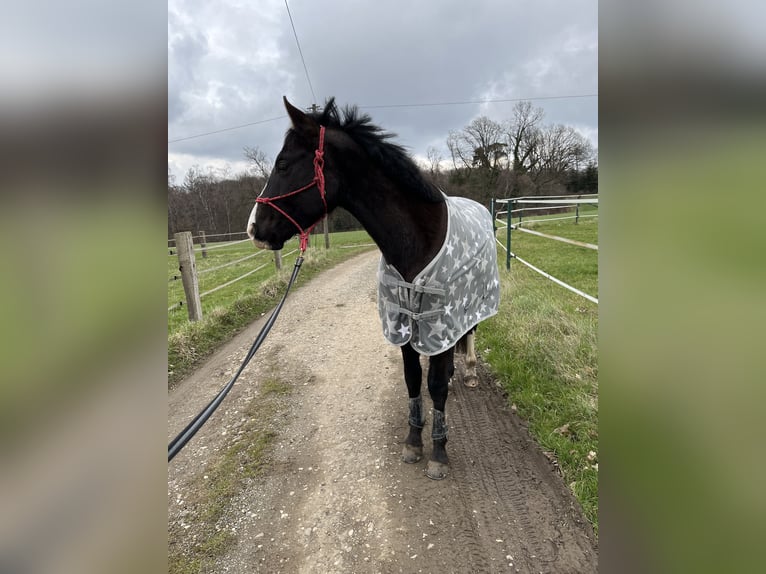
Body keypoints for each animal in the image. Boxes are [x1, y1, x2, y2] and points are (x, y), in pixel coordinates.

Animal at [249, 98, 500, 482]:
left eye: (283, 164)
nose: (254, 229)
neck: (418, 241)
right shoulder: (405, 327)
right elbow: (413, 380)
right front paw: (413, 442)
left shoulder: (441, 320)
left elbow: (435, 386)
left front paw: (439, 453)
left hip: (470, 306)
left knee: (469, 334)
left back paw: (470, 371)